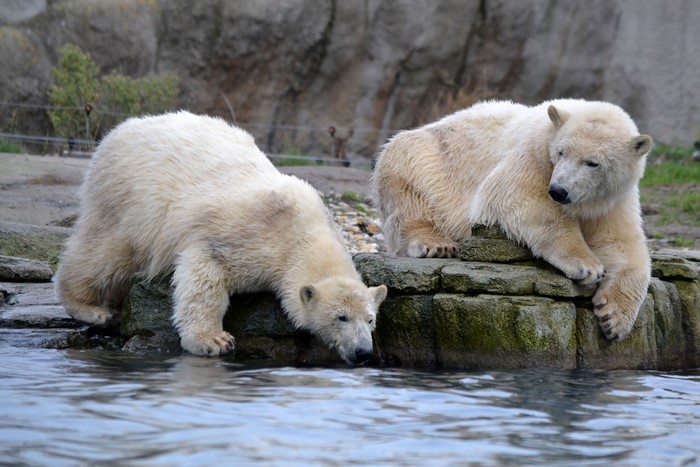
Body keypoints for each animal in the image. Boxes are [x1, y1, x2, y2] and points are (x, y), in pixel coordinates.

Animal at [55, 111, 387, 365]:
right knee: (106, 252)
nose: (363, 352)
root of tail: (118, 131)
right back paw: (92, 309)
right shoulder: (243, 236)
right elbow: (205, 274)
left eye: (370, 319)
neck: (303, 230)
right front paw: (213, 340)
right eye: (341, 318)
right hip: (130, 200)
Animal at [371, 99, 653, 342]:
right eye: (561, 152)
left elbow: (619, 244)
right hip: (426, 162)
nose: (559, 191)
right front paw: (587, 265)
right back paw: (436, 245)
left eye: (592, 163)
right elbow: (520, 197)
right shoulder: (532, 155)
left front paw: (614, 319)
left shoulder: (612, 199)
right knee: (410, 196)